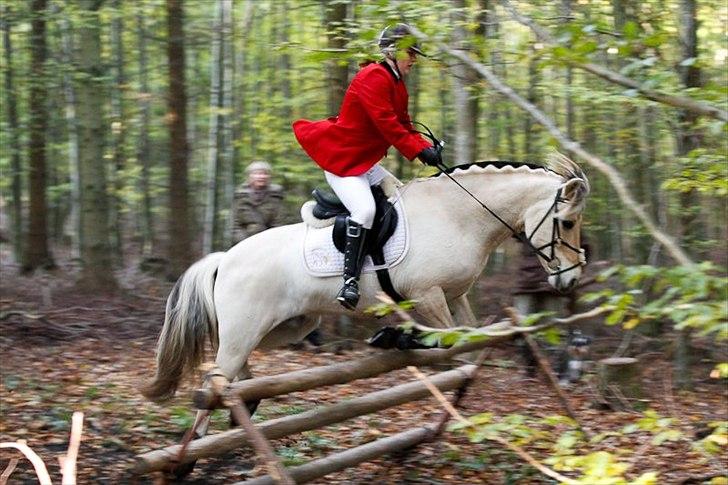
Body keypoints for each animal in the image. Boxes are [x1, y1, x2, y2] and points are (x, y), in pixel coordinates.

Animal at [141, 154, 584, 408]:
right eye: (567, 223)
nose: (571, 278)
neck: (458, 215)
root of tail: (226, 259)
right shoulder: (426, 296)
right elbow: (447, 339)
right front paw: (394, 338)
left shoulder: (455, 295)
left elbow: (468, 340)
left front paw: (401, 341)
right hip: (245, 332)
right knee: (218, 377)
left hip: (282, 328)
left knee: (235, 369)